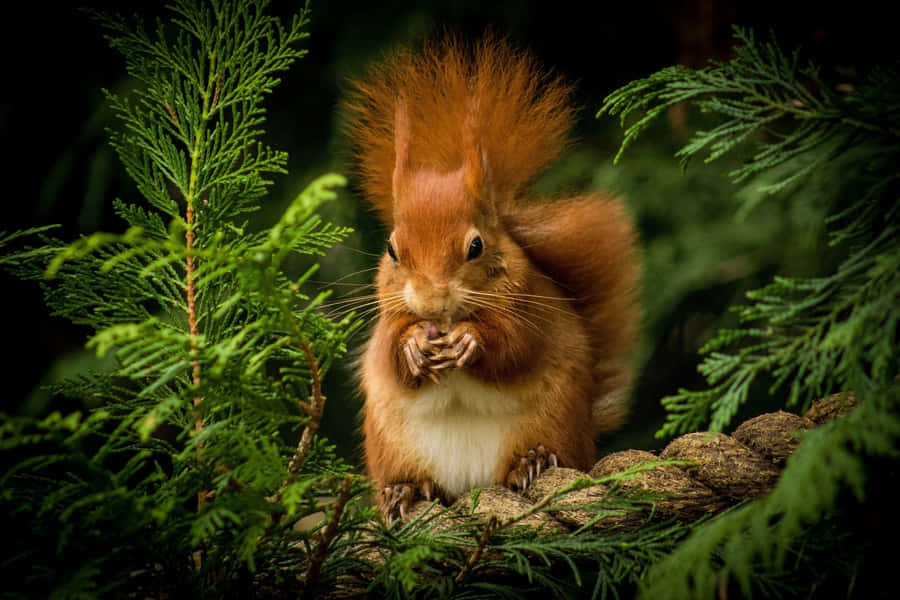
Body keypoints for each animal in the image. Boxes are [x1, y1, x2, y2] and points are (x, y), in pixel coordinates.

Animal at [344, 35, 640, 516]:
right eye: (392, 250)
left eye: (476, 246)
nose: (432, 303)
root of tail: (470, 484)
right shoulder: (389, 318)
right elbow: (389, 354)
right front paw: (413, 346)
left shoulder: (531, 305)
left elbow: (516, 346)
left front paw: (470, 340)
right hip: (390, 446)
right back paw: (403, 491)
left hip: (554, 422)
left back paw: (530, 462)